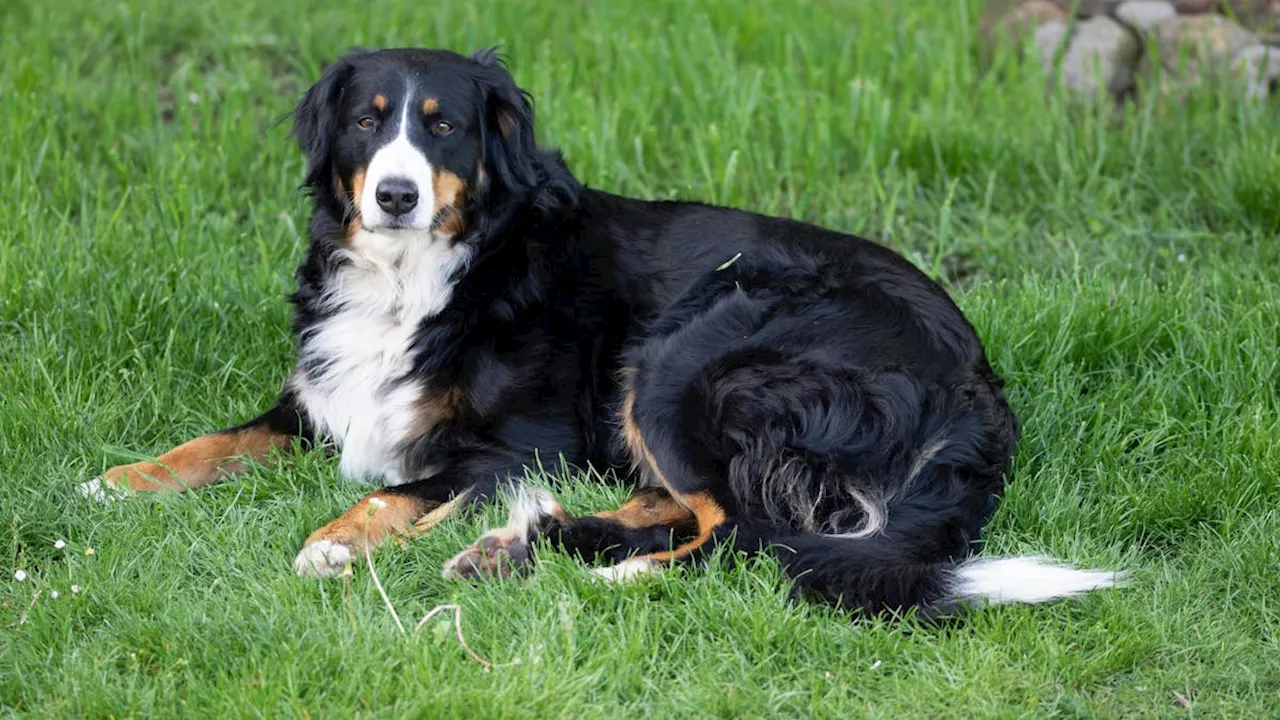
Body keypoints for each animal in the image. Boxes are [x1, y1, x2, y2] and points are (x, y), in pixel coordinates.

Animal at [82, 46, 1121, 617]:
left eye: (444, 127)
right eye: (368, 122)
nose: (395, 194)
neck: (424, 274)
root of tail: (976, 383)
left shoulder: (518, 443)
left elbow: (397, 491)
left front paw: (335, 541)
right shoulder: (322, 397)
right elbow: (216, 440)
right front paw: (121, 479)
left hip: (687, 357)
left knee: (739, 531)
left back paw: (605, 575)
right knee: (677, 508)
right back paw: (518, 547)